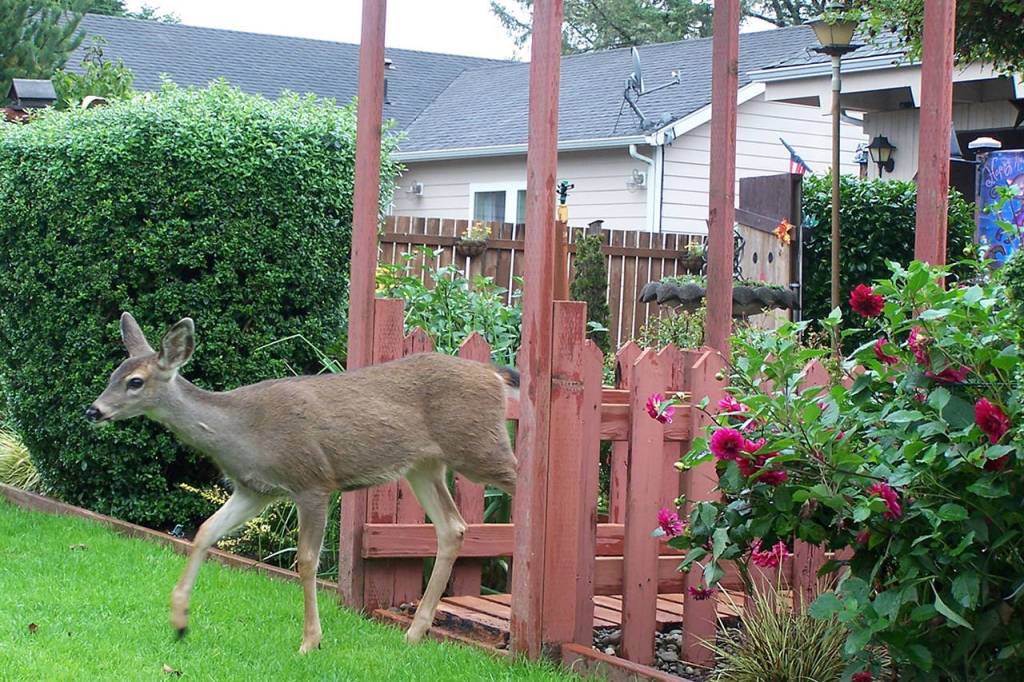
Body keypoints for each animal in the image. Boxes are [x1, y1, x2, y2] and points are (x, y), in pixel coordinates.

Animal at [86, 312, 518, 653]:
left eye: (136, 382)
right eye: (112, 375)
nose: (93, 410)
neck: (242, 432)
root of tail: (493, 373)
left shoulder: (312, 481)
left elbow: (306, 560)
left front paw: (311, 640)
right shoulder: (254, 490)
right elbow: (205, 531)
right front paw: (179, 620)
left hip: (480, 448)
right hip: (423, 466)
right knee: (453, 526)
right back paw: (414, 634)